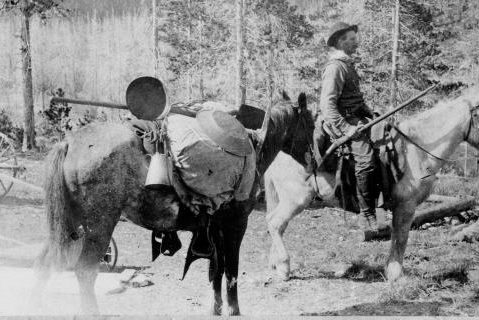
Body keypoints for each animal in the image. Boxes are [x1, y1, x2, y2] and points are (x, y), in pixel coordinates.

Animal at [31, 92, 316, 316]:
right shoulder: (236, 225)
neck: (254, 147)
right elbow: (231, 271)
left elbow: (217, 271)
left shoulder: (216, 229)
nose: (312, 162)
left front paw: (216, 307)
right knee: (85, 271)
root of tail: (70, 142)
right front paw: (234, 310)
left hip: (69, 226)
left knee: (45, 263)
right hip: (97, 227)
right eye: (311, 123)